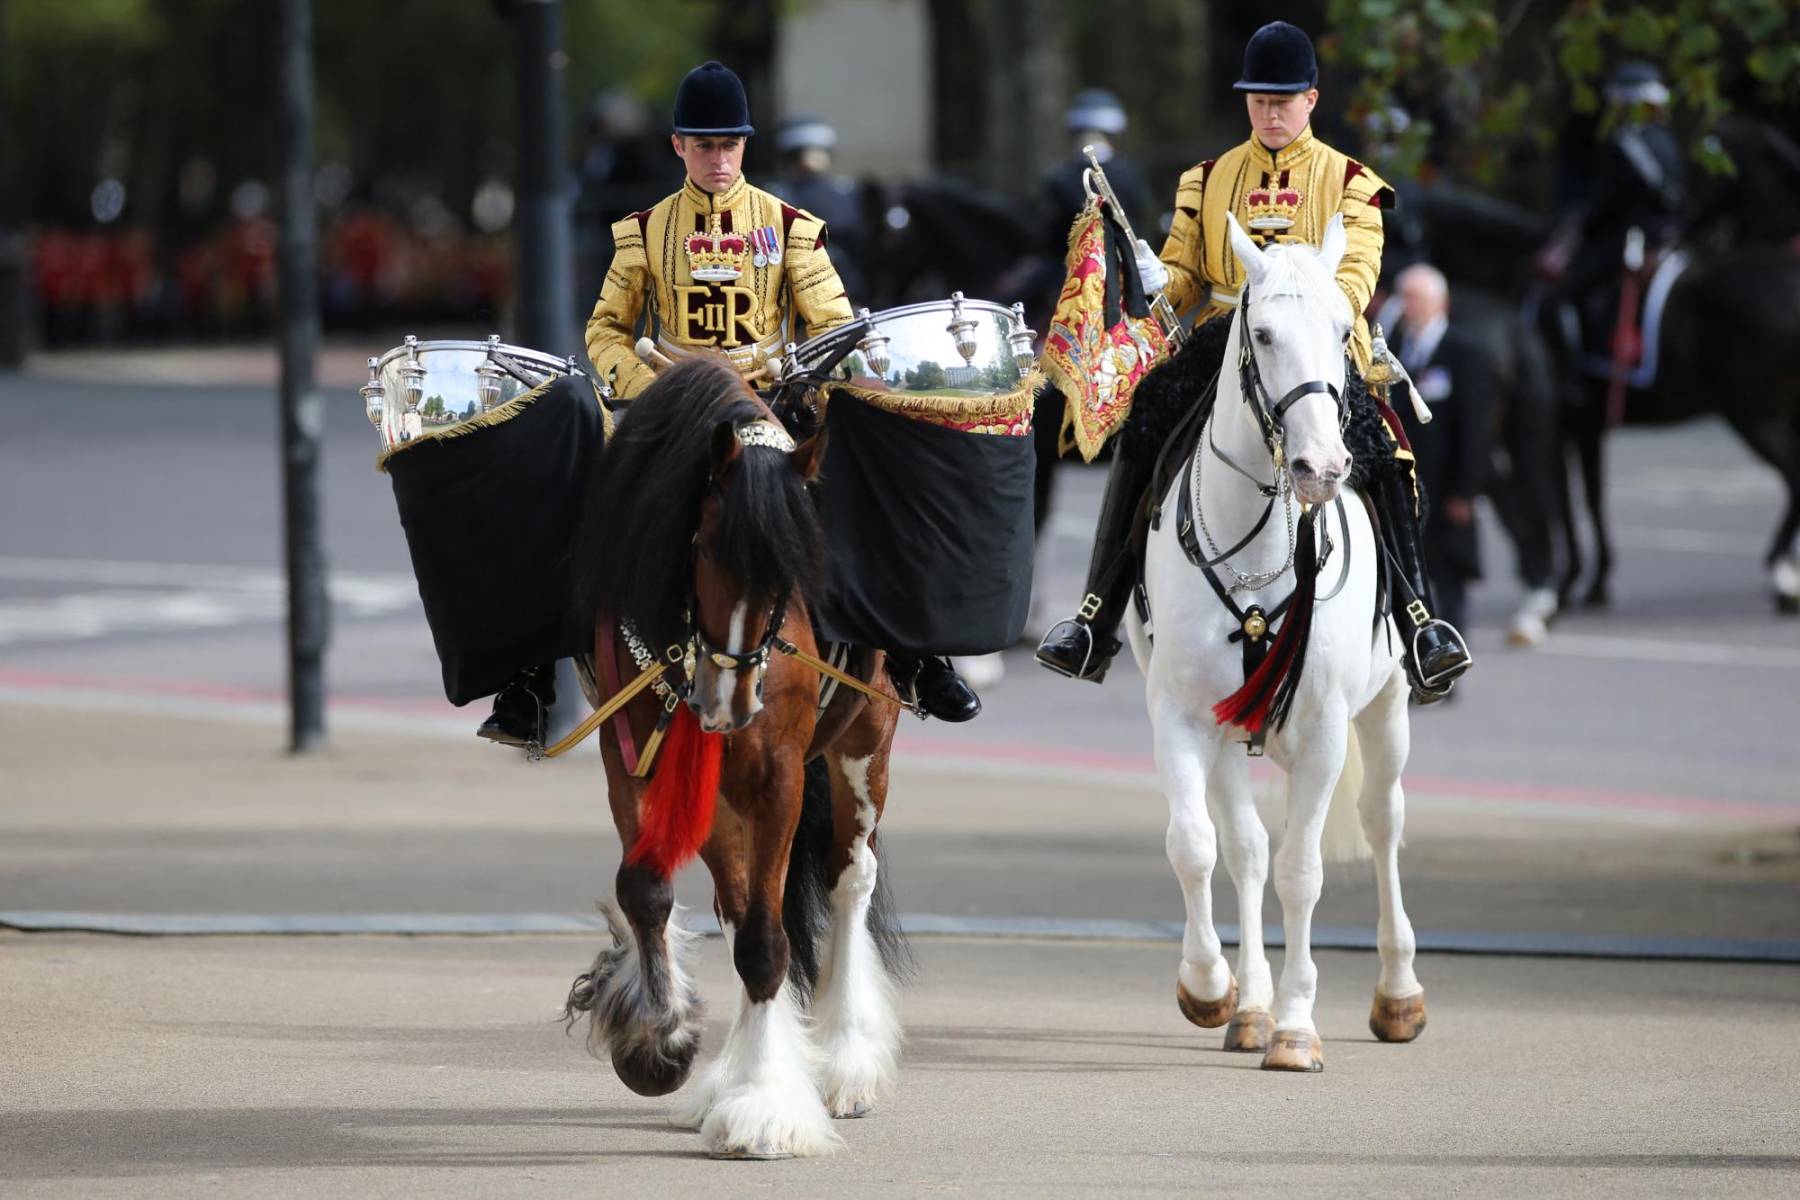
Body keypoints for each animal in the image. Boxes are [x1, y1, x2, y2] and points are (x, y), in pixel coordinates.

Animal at [561, 359, 907, 1165]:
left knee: (849, 880)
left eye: (794, 574)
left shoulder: (777, 775)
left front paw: (764, 1107)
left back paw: (845, 1061)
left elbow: (766, 939)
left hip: (863, 745)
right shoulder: (636, 761)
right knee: (743, 901)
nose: (730, 703)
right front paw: (659, 1042)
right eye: (705, 549)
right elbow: (651, 892)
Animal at [1123, 213, 1432, 1072]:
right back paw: (1250, 1006)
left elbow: (1303, 870)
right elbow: (1198, 847)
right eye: (1260, 332)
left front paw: (1297, 1025)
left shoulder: (1324, 727)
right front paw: (1212, 987)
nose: (1321, 466)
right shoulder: (1182, 717)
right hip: (1234, 737)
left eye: (1340, 329)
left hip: (1388, 706)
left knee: (1382, 820)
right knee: (1245, 847)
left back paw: (1398, 993)